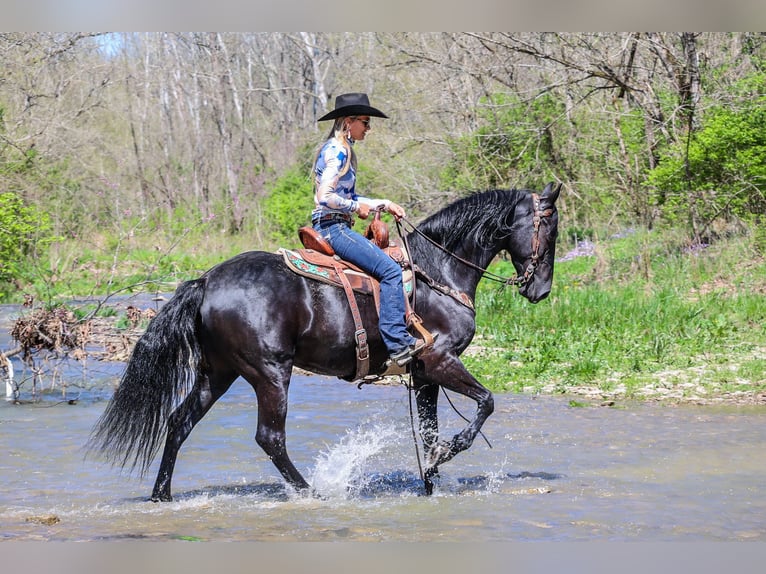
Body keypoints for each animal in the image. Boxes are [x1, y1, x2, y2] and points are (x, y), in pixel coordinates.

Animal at [87, 182, 560, 502]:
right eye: (551, 230)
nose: (540, 291)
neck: (439, 271)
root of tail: (206, 281)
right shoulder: (441, 361)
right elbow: (485, 403)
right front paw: (448, 453)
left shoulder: (424, 375)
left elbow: (427, 433)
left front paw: (431, 480)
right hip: (270, 373)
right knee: (270, 438)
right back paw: (312, 492)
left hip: (217, 373)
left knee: (180, 421)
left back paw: (161, 494)